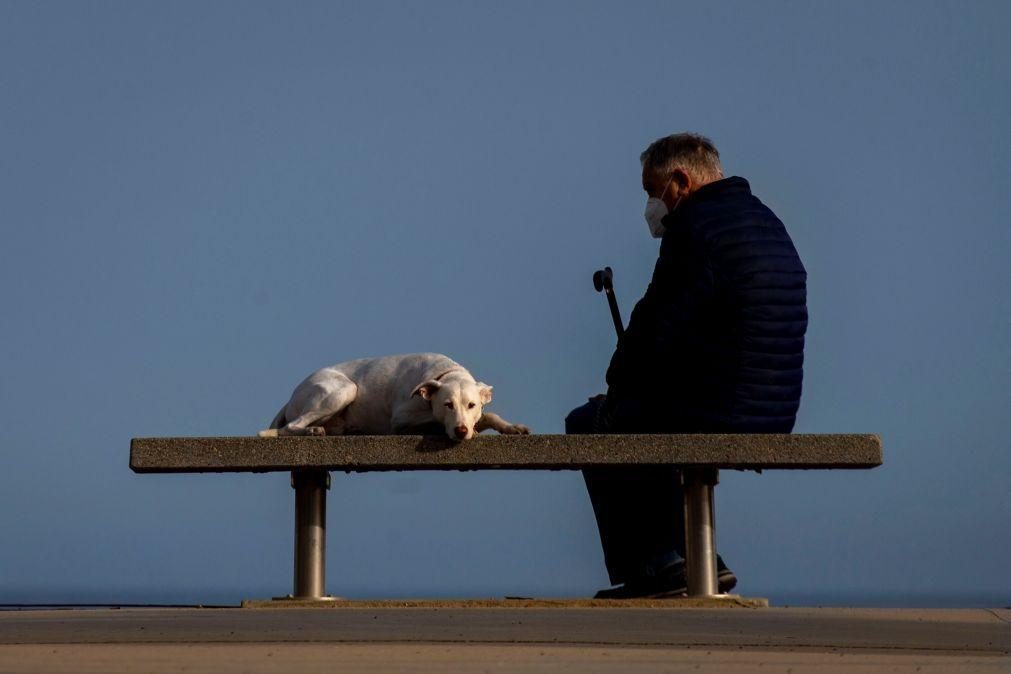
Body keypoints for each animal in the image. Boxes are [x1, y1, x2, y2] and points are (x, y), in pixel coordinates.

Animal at [256, 353, 533, 442]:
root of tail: (291, 396)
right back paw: (311, 431)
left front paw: (512, 427)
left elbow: (490, 414)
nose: (461, 431)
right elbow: (432, 420)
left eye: (471, 404)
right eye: (447, 405)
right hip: (343, 389)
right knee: (291, 426)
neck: (444, 372)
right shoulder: (401, 418)